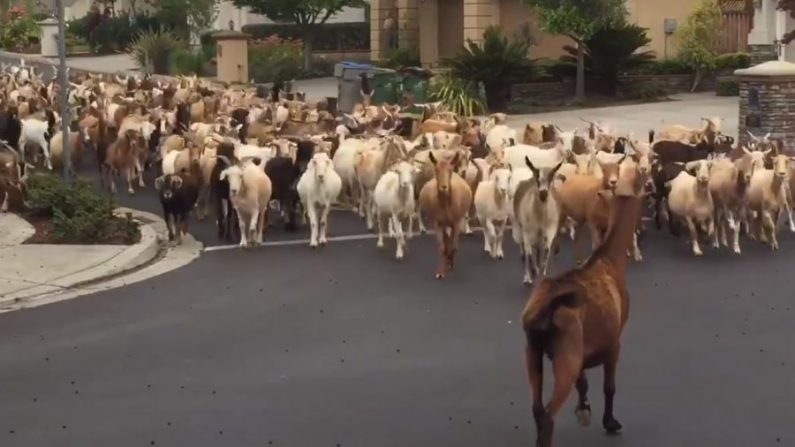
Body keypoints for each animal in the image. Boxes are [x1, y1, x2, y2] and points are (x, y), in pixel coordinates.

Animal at [520, 191, 644, 447]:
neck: (608, 260)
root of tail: (548, 305)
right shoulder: (614, 345)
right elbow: (609, 387)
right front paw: (610, 422)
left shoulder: (581, 350)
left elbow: (583, 381)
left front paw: (584, 408)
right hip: (565, 359)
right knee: (548, 414)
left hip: (533, 352)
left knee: (537, 408)